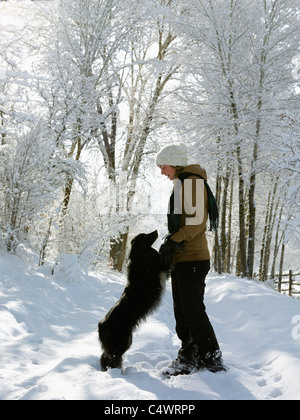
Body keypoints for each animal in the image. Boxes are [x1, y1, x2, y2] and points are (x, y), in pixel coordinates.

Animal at [98, 230, 169, 370]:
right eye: (145, 236)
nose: (156, 231)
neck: (141, 256)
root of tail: (101, 325)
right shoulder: (159, 267)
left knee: (105, 357)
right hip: (122, 342)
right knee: (111, 358)